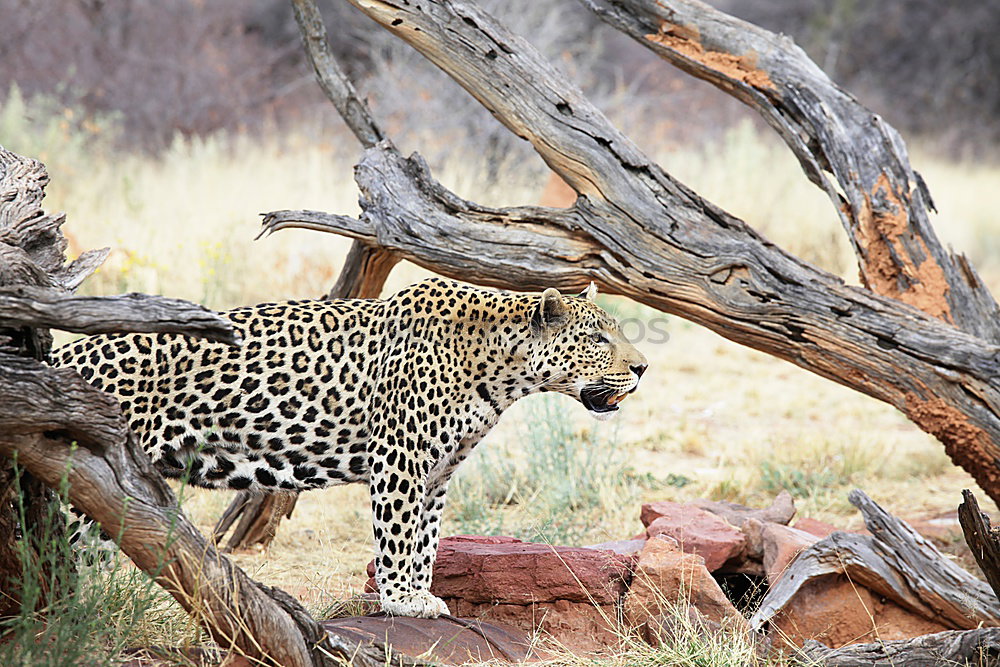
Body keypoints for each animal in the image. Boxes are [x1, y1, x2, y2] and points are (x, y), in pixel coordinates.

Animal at [53, 277, 648, 617]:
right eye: (598, 339)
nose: (643, 368)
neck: (502, 371)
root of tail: (64, 355)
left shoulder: (438, 474)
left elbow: (426, 541)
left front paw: (419, 594)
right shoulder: (401, 462)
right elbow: (398, 539)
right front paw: (402, 601)